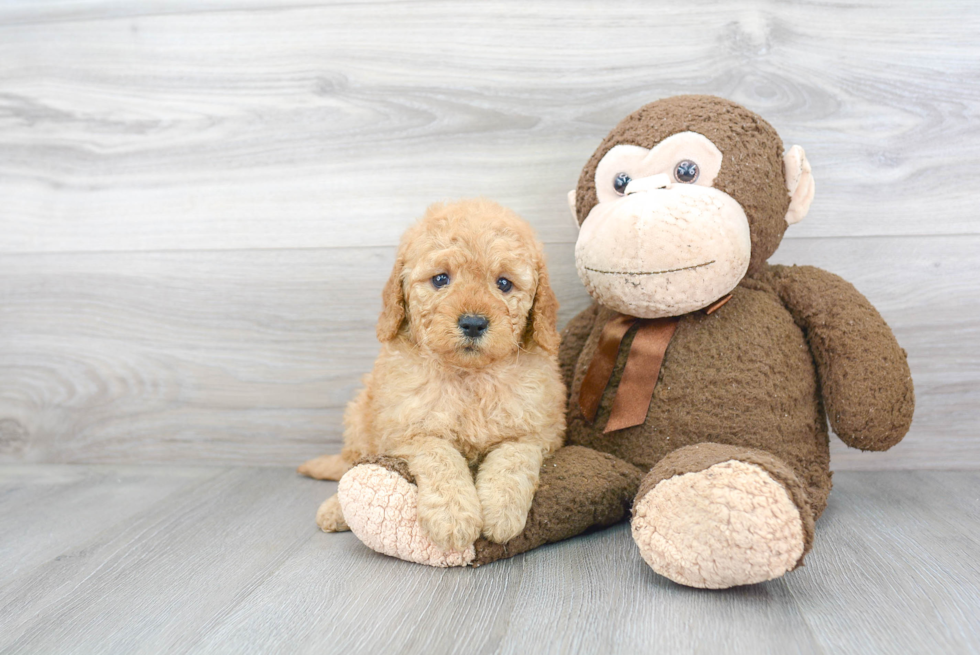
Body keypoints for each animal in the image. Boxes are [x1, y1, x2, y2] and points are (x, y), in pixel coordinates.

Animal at [304, 197, 568, 552]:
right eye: (441, 279)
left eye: (504, 283)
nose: (473, 323)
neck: (469, 377)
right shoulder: (410, 430)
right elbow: (441, 457)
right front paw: (453, 518)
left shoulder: (537, 432)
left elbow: (513, 460)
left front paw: (502, 512)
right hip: (360, 417)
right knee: (351, 464)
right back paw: (335, 509)